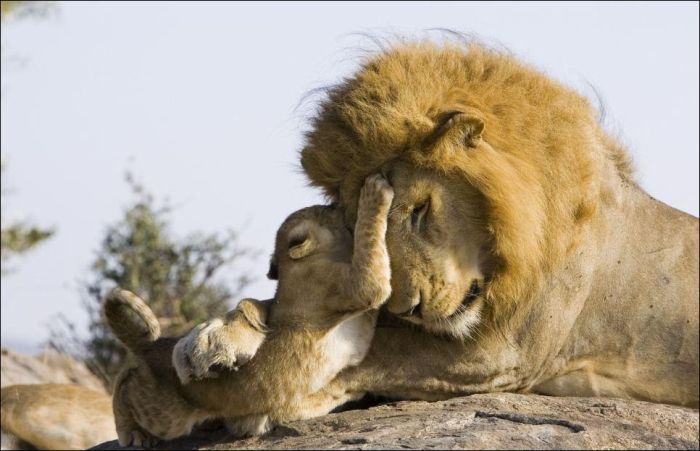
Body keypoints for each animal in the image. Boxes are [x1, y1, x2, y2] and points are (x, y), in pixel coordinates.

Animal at [183, 41, 696, 410]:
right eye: (362, 222)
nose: (408, 308)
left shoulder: (504, 351)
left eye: (419, 210)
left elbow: (379, 346)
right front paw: (209, 339)